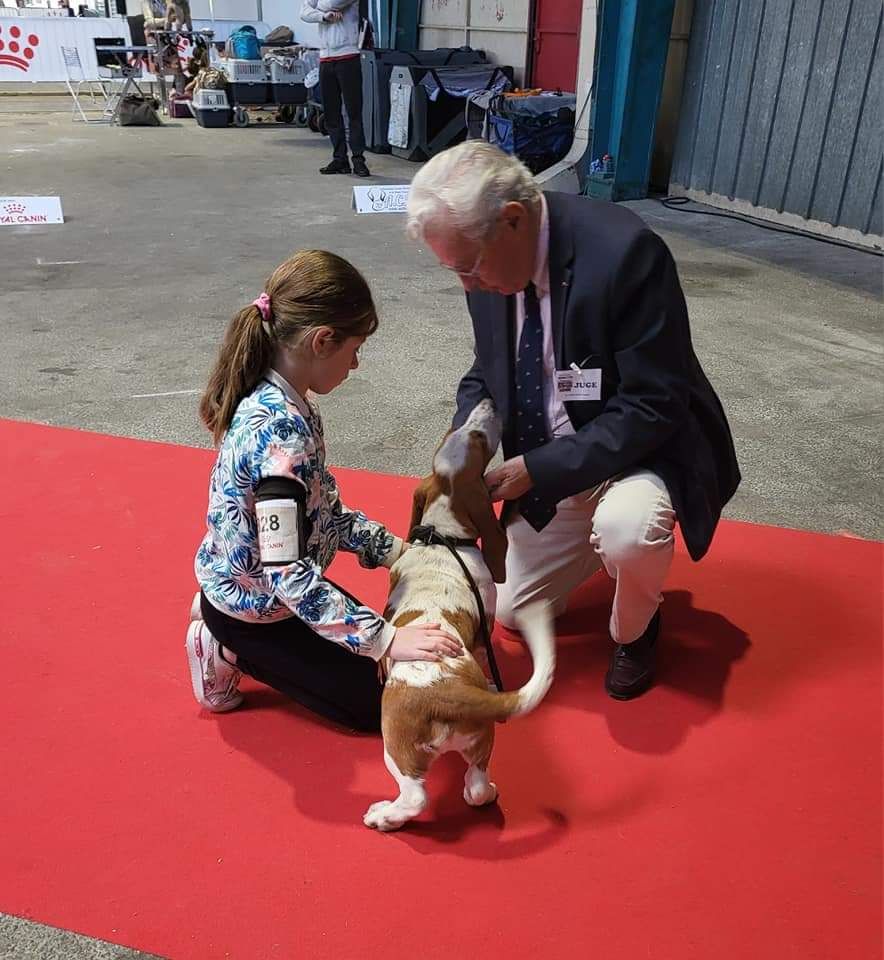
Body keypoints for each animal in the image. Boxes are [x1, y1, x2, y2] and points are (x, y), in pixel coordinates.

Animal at [362, 400, 556, 832]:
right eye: (475, 437)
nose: (488, 403)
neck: (443, 535)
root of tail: (449, 693)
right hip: (478, 742)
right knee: (477, 787)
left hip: (395, 747)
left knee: (417, 797)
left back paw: (385, 817)